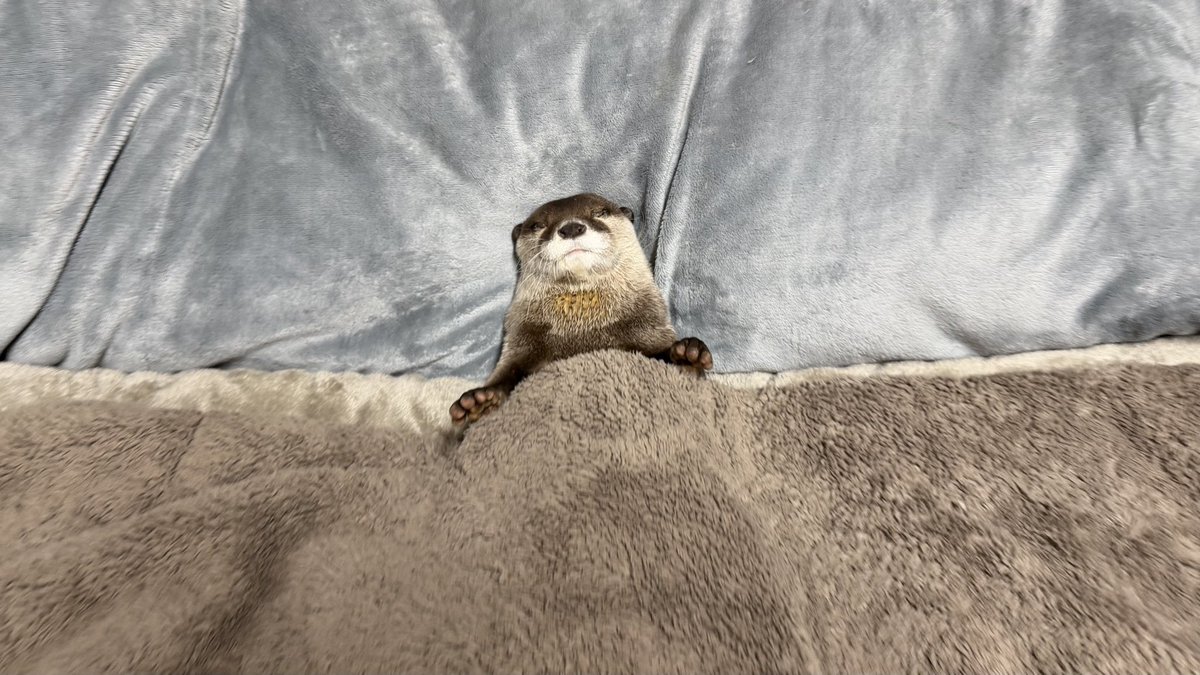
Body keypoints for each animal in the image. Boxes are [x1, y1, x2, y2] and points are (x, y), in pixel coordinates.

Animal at [450, 192, 712, 425]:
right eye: (538, 225)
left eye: (600, 212)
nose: (571, 228)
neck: (585, 328)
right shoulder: (521, 338)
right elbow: (508, 371)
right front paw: (480, 401)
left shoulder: (649, 326)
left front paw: (688, 356)